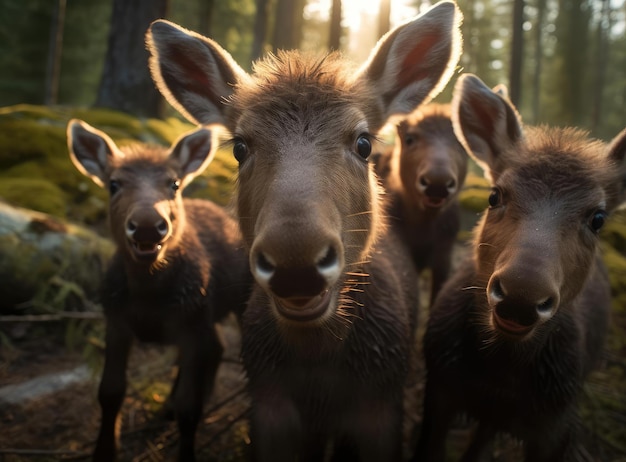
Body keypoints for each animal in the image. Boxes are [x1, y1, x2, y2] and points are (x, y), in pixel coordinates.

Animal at [67, 121, 250, 460]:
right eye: (113, 184)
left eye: (174, 184)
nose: (147, 225)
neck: (148, 298)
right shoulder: (116, 322)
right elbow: (109, 392)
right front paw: (104, 450)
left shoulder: (192, 328)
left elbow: (189, 409)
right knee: (218, 346)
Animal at [145, 1, 458, 460]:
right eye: (240, 147)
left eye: (363, 142)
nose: (296, 262)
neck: (318, 362)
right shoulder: (269, 409)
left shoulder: (381, 409)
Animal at [410, 72, 624, 462]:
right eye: (495, 195)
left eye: (598, 218)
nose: (521, 295)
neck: (500, 376)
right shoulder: (439, 392)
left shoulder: (554, 427)